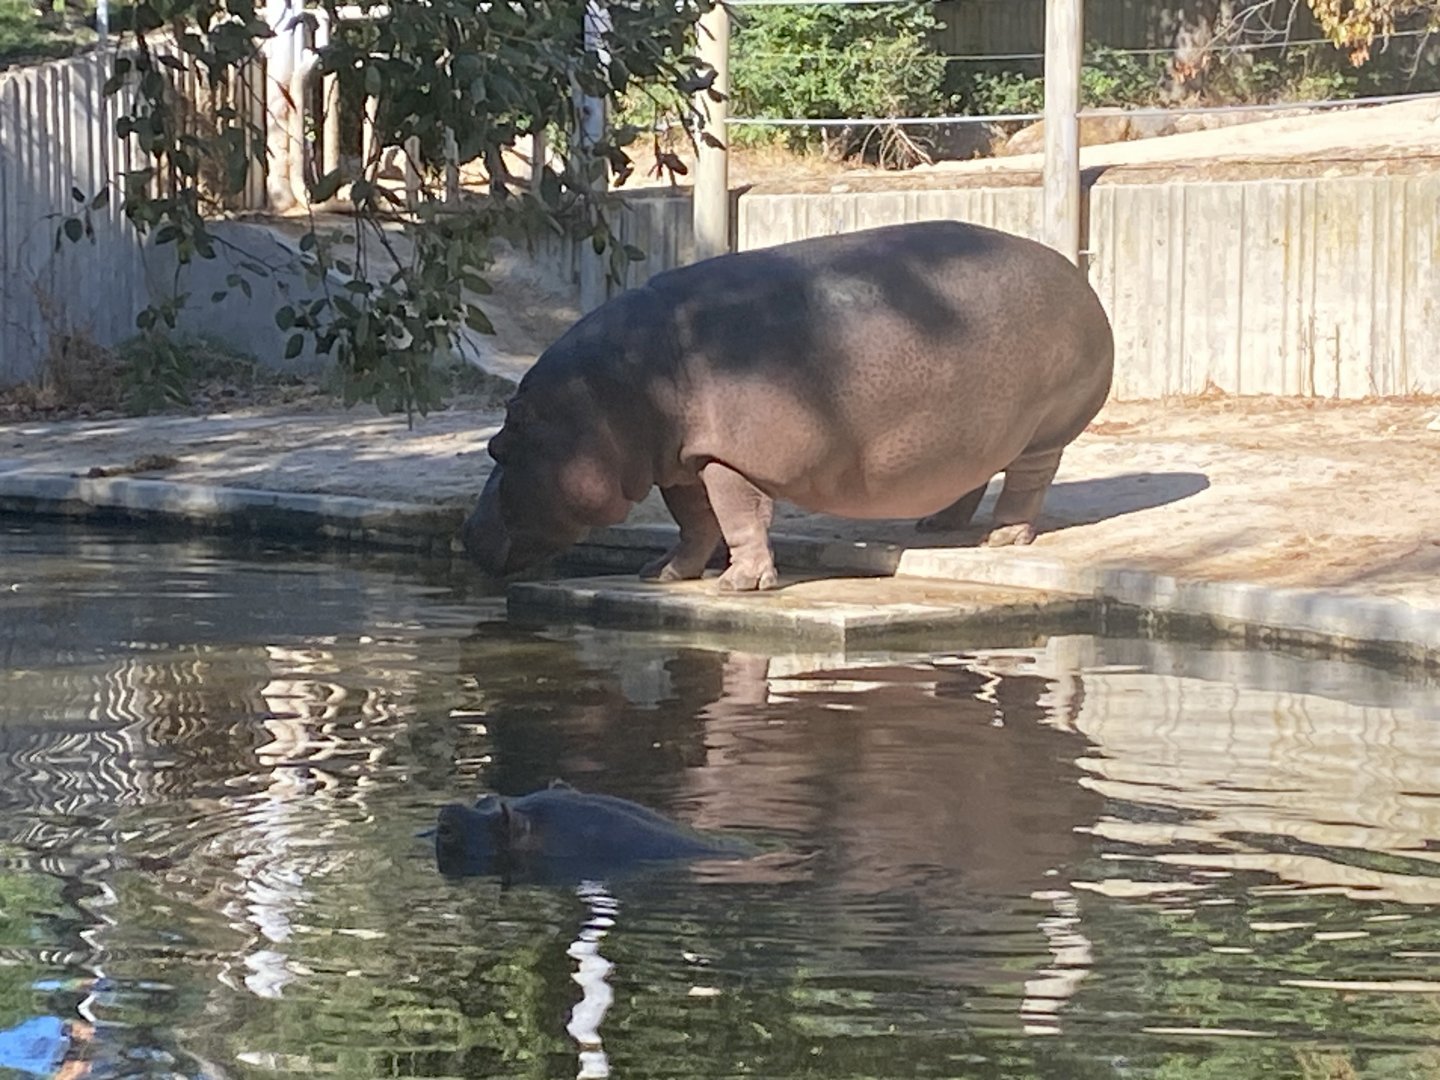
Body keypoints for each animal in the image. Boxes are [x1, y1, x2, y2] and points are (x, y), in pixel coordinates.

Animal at [463, 220, 1114, 591]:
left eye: (499, 447)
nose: (464, 535)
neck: (612, 389)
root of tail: (1075, 275)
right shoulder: (682, 460)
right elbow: (694, 522)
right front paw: (664, 575)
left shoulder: (726, 457)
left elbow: (737, 516)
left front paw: (738, 585)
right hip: (973, 430)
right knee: (973, 472)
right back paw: (936, 525)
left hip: (1045, 427)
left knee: (1028, 478)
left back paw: (1003, 539)